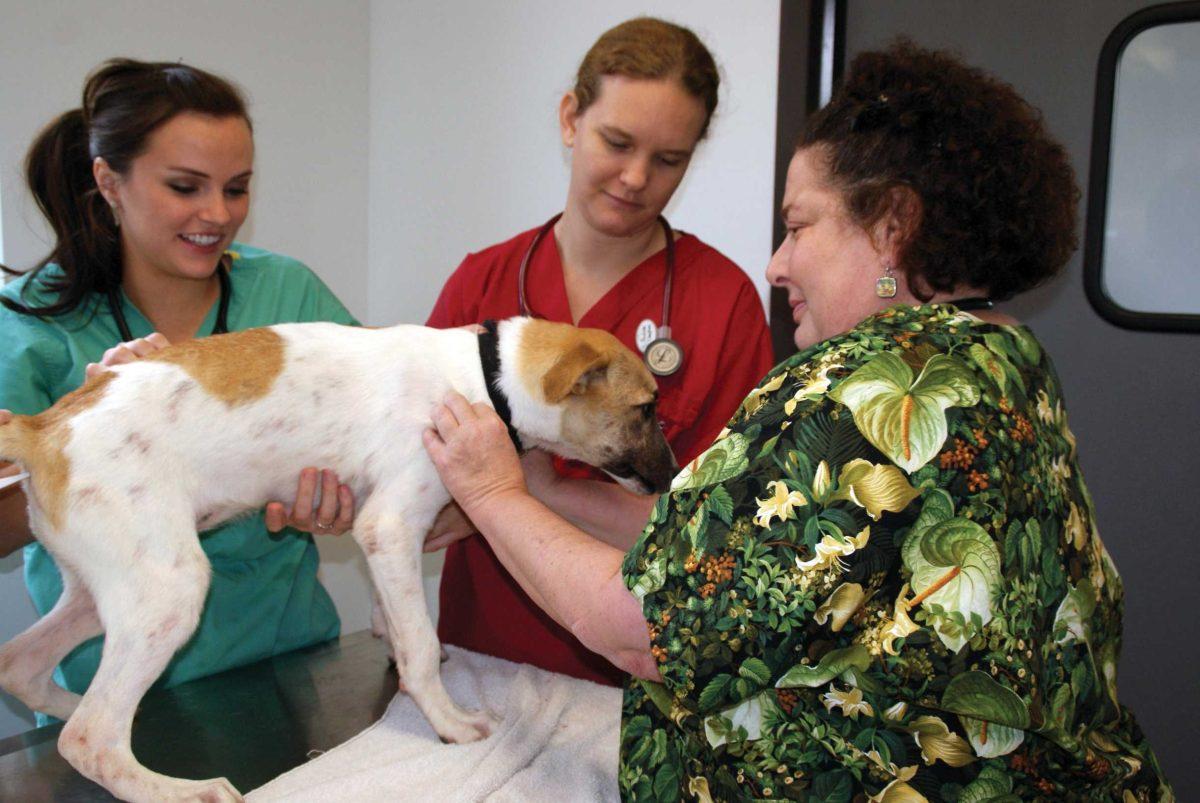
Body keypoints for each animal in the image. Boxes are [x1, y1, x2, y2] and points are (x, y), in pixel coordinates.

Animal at [0, 316, 676, 796]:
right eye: (646, 409)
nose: (673, 478)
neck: (485, 377)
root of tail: (42, 426)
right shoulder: (391, 525)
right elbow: (420, 643)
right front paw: (448, 721)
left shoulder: (374, 528)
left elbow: (397, 619)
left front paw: (391, 641)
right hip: (170, 588)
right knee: (91, 737)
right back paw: (184, 791)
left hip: (109, 584)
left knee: (25, 668)